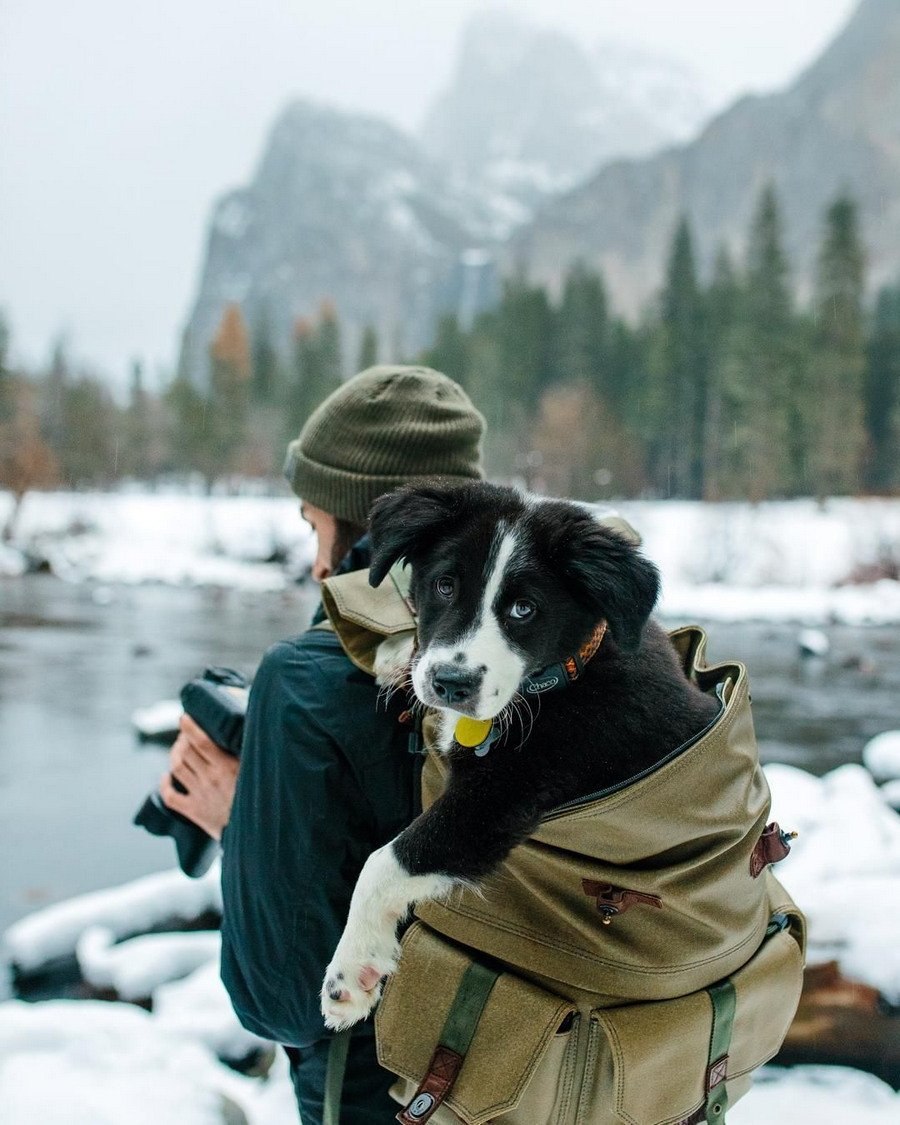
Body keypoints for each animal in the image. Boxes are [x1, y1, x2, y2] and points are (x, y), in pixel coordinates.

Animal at [319, 481, 715, 1030]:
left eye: (524, 609)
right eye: (445, 585)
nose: (451, 683)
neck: (566, 675)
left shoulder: (502, 796)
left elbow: (385, 862)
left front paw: (351, 973)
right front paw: (396, 655)